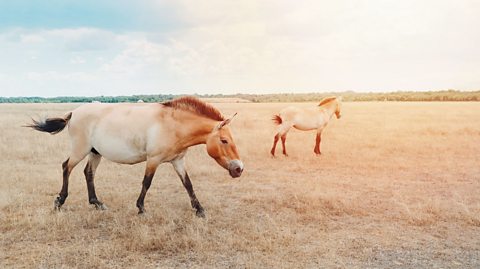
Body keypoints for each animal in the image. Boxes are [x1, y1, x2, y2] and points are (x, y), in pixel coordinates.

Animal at [26, 95, 244, 217]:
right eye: (224, 140)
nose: (239, 169)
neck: (172, 124)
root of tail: (74, 113)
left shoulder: (178, 161)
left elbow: (188, 184)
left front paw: (199, 210)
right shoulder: (153, 160)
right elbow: (146, 183)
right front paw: (141, 209)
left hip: (95, 153)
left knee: (88, 173)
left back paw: (97, 203)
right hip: (80, 150)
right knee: (66, 167)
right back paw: (59, 202)